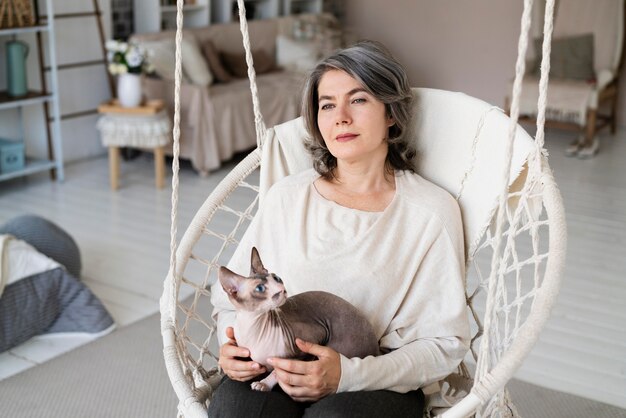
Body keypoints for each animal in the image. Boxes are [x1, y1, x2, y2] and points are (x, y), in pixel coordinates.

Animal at [217, 247, 378, 390]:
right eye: (260, 288)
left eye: (276, 278)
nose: (282, 289)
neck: (254, 330)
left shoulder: (313, 338)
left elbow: (278, 371)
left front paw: (264, 383)